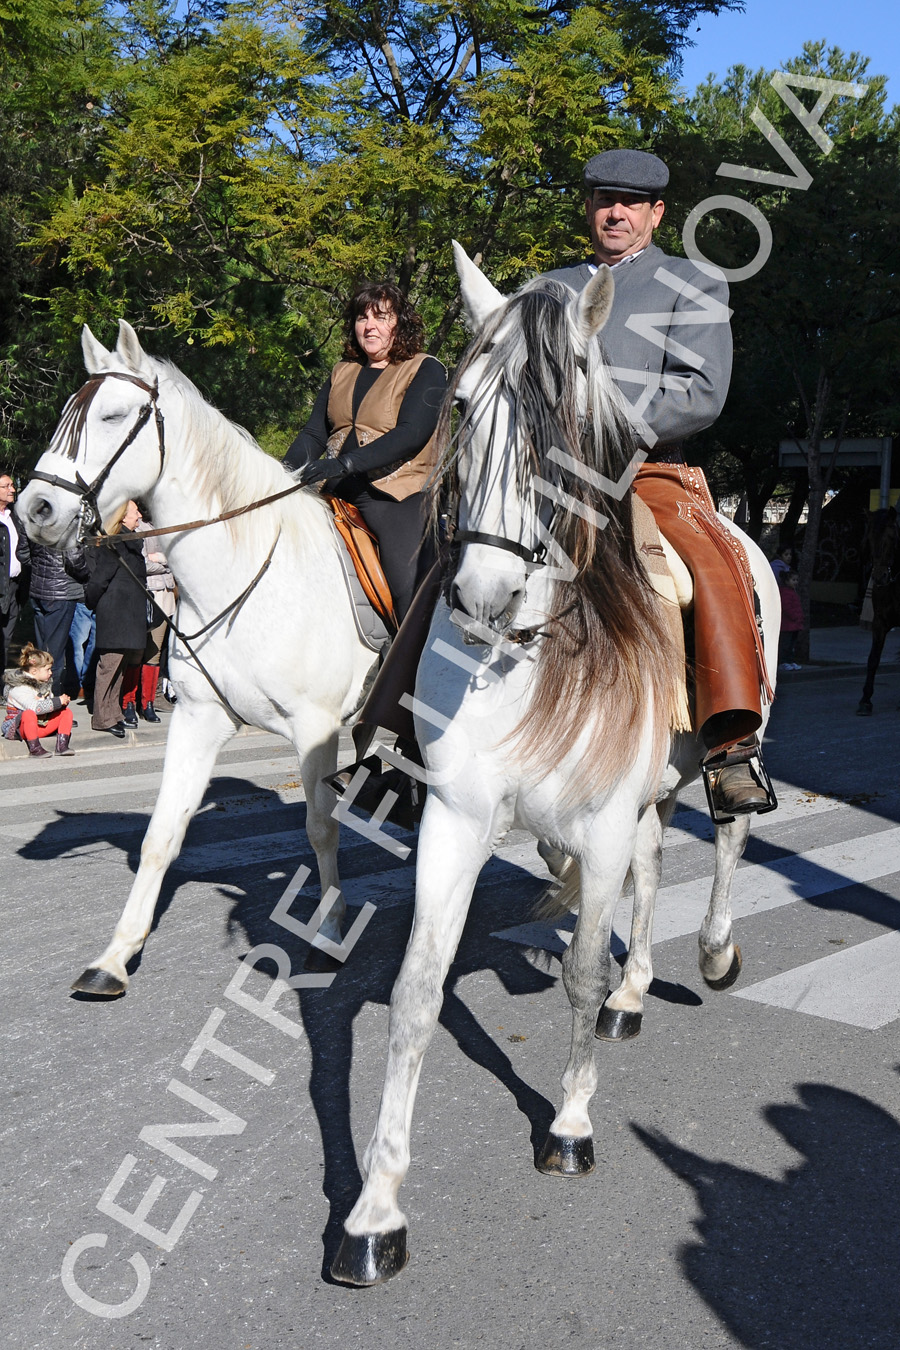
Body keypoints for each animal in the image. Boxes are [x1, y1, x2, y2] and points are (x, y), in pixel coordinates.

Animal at [17, 315, 377, 993]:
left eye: (112, 416)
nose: (34, 510)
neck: (248, 568)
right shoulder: (198, 718)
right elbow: (161, 834)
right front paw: (115, 956)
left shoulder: (314, 727)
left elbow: (321, 827)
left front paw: (327, 934)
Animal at [330, 251, 782, 1285]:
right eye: (461, 403)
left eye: (558, 417)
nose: (483, 594)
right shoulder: (459, 819)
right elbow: (416, 994)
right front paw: (375, 1210)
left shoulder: (602, 820)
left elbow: (577, 964)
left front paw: (571, 1125)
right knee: (654, 868)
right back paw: (635, 988)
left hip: (729, 746)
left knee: (728, 836)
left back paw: (712, 949)